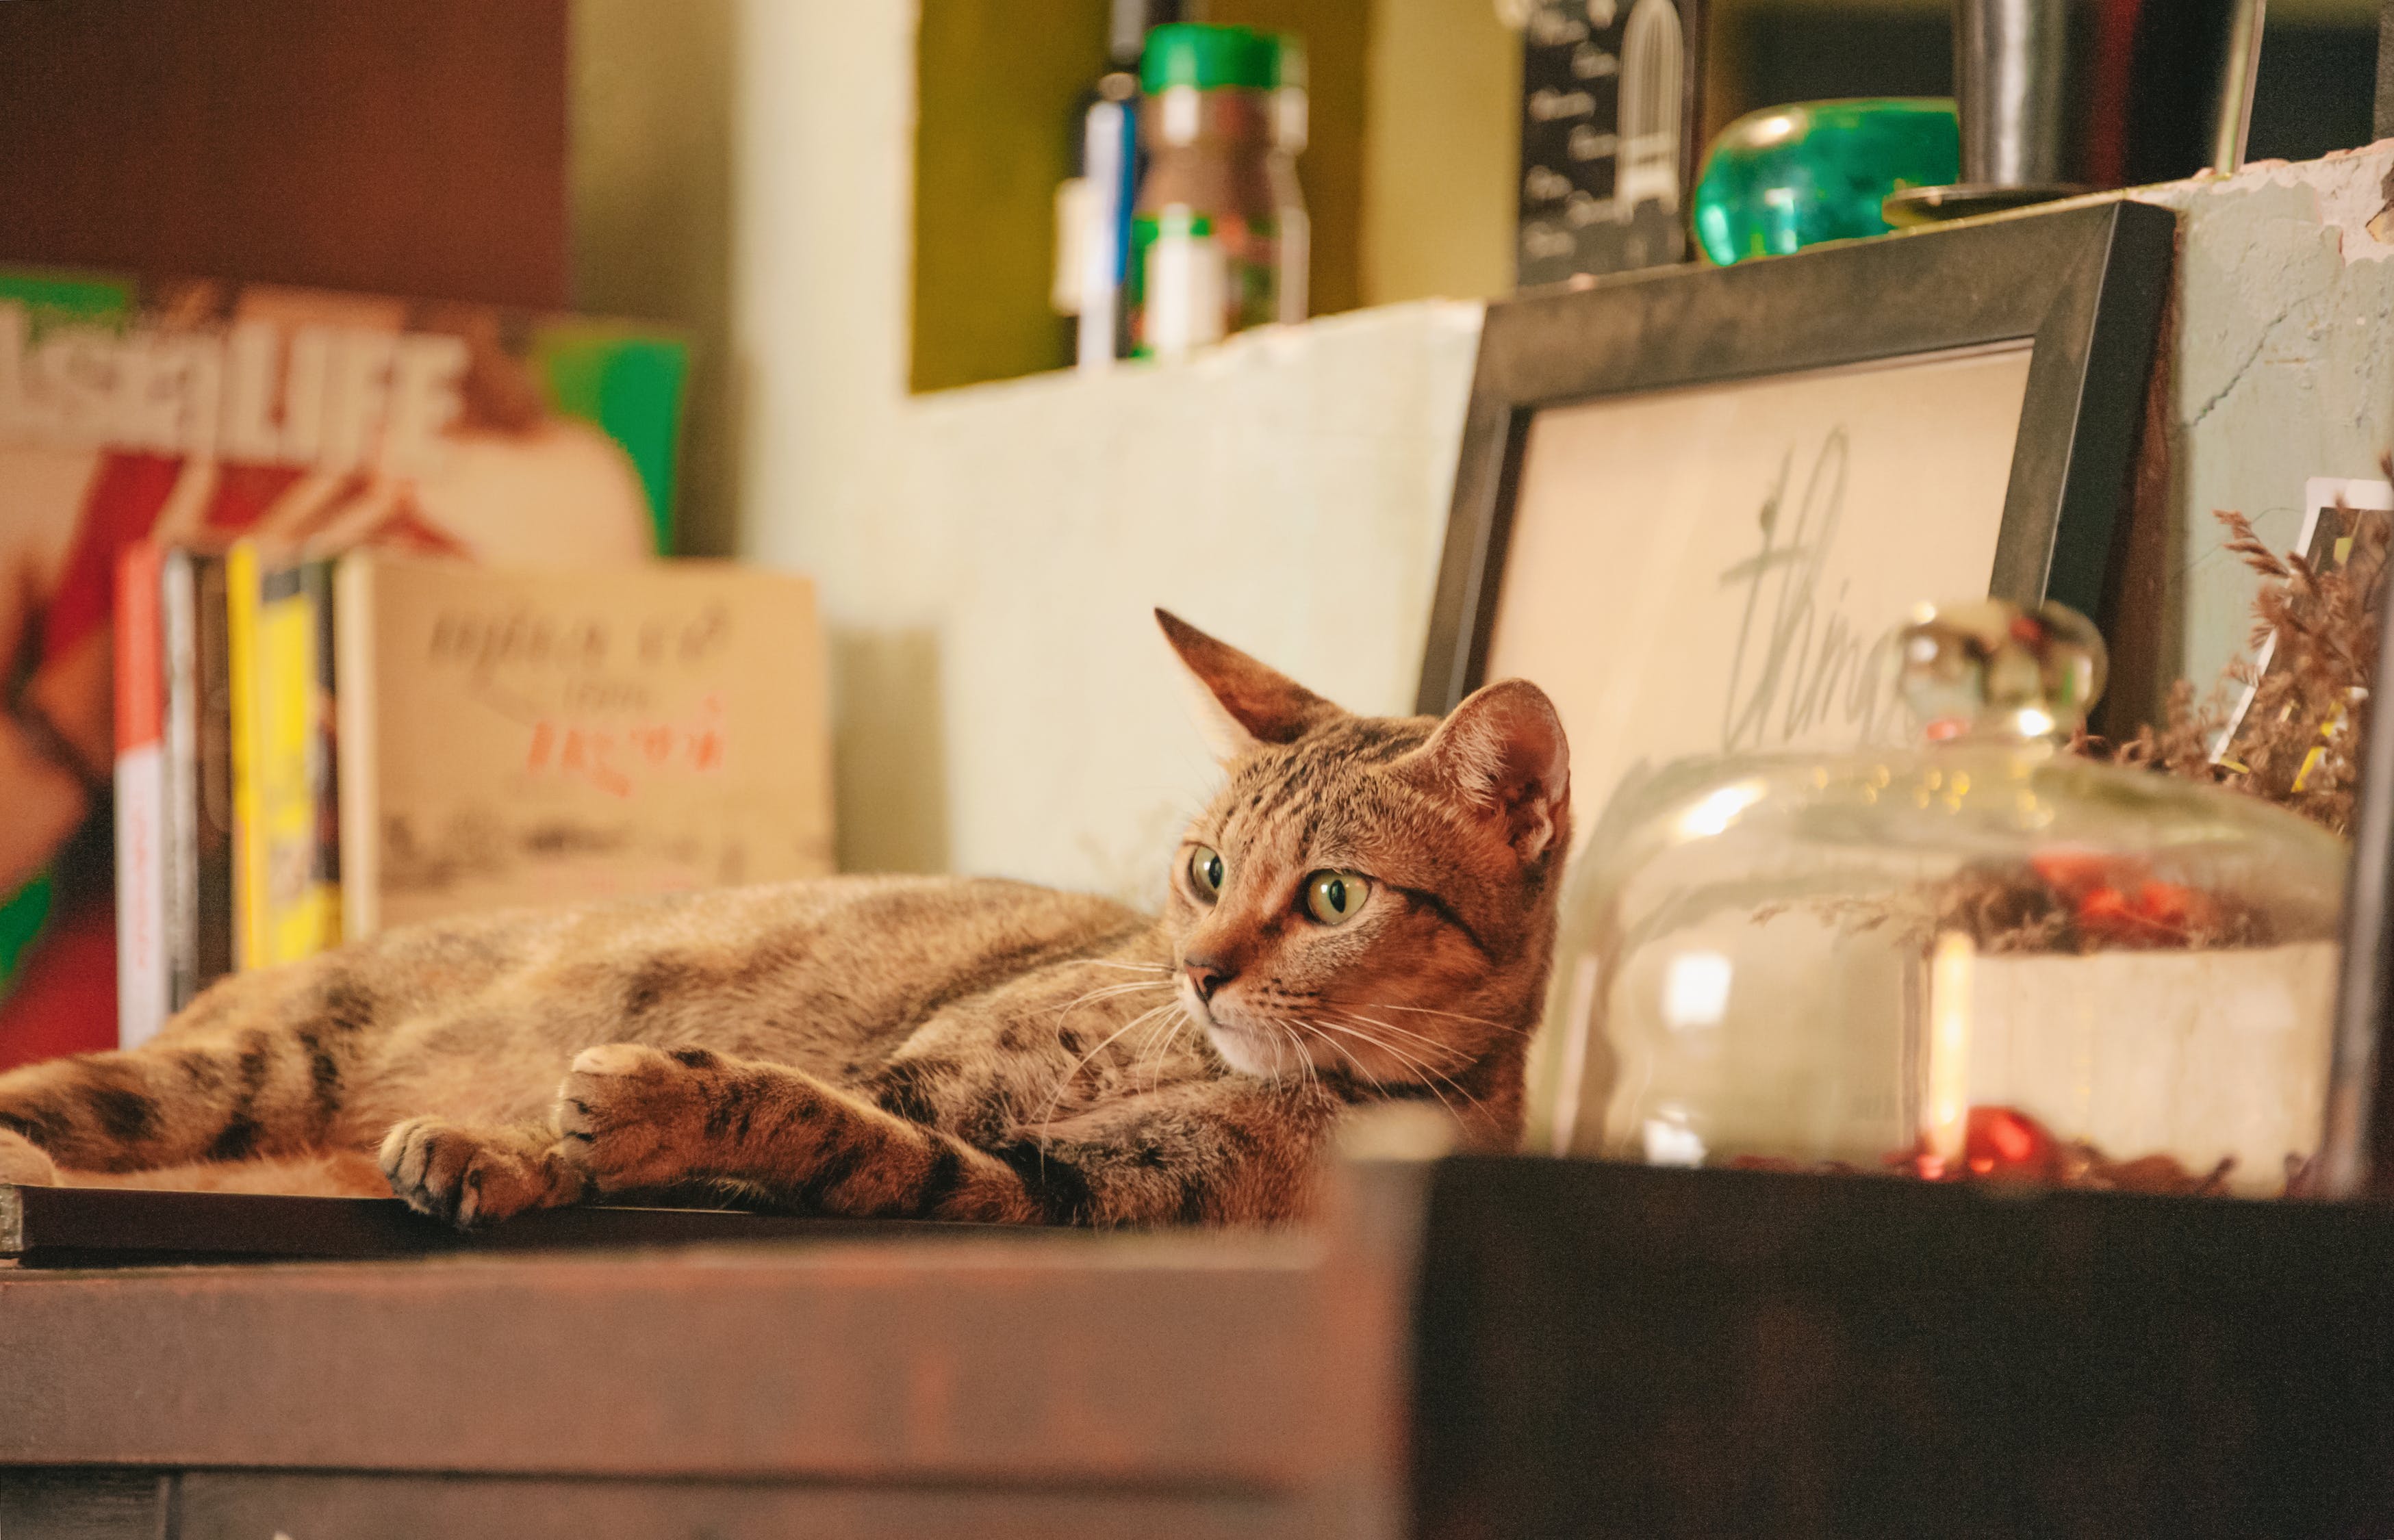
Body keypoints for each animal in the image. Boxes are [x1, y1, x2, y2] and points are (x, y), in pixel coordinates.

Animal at [0, 613, 1570, 1226]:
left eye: (1331, 897)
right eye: (1200, 871)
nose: (1193, 971)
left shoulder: (1037, 1191)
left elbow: (820, 1127)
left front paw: (618, 1119)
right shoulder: (934, 1073)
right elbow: (798, 1094)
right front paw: (522, 1143)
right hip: (262, 1059)